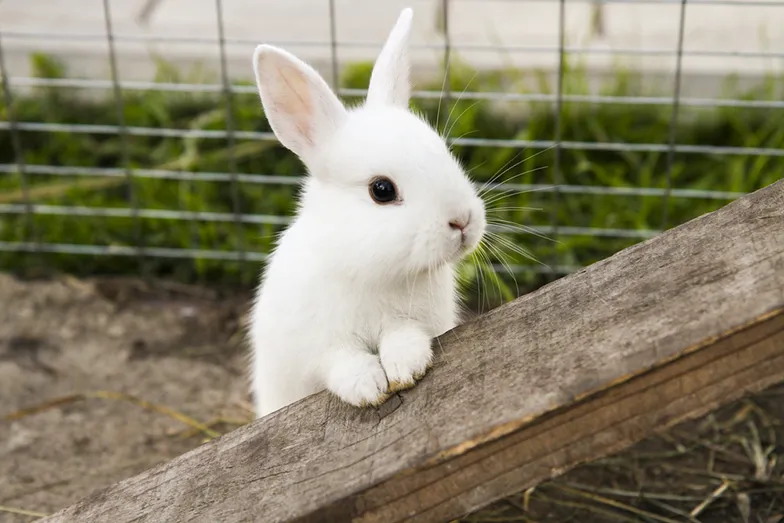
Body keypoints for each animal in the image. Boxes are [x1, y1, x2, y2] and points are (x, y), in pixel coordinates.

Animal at [248, 7, 487, 418]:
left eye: (444, 151)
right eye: (382, 190)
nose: (462, 221)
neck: (372, 271)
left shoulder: (417, 321)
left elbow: (404, 336)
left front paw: (405, 366)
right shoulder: (317, 346)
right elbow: (340, 362)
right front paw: (368, 386)